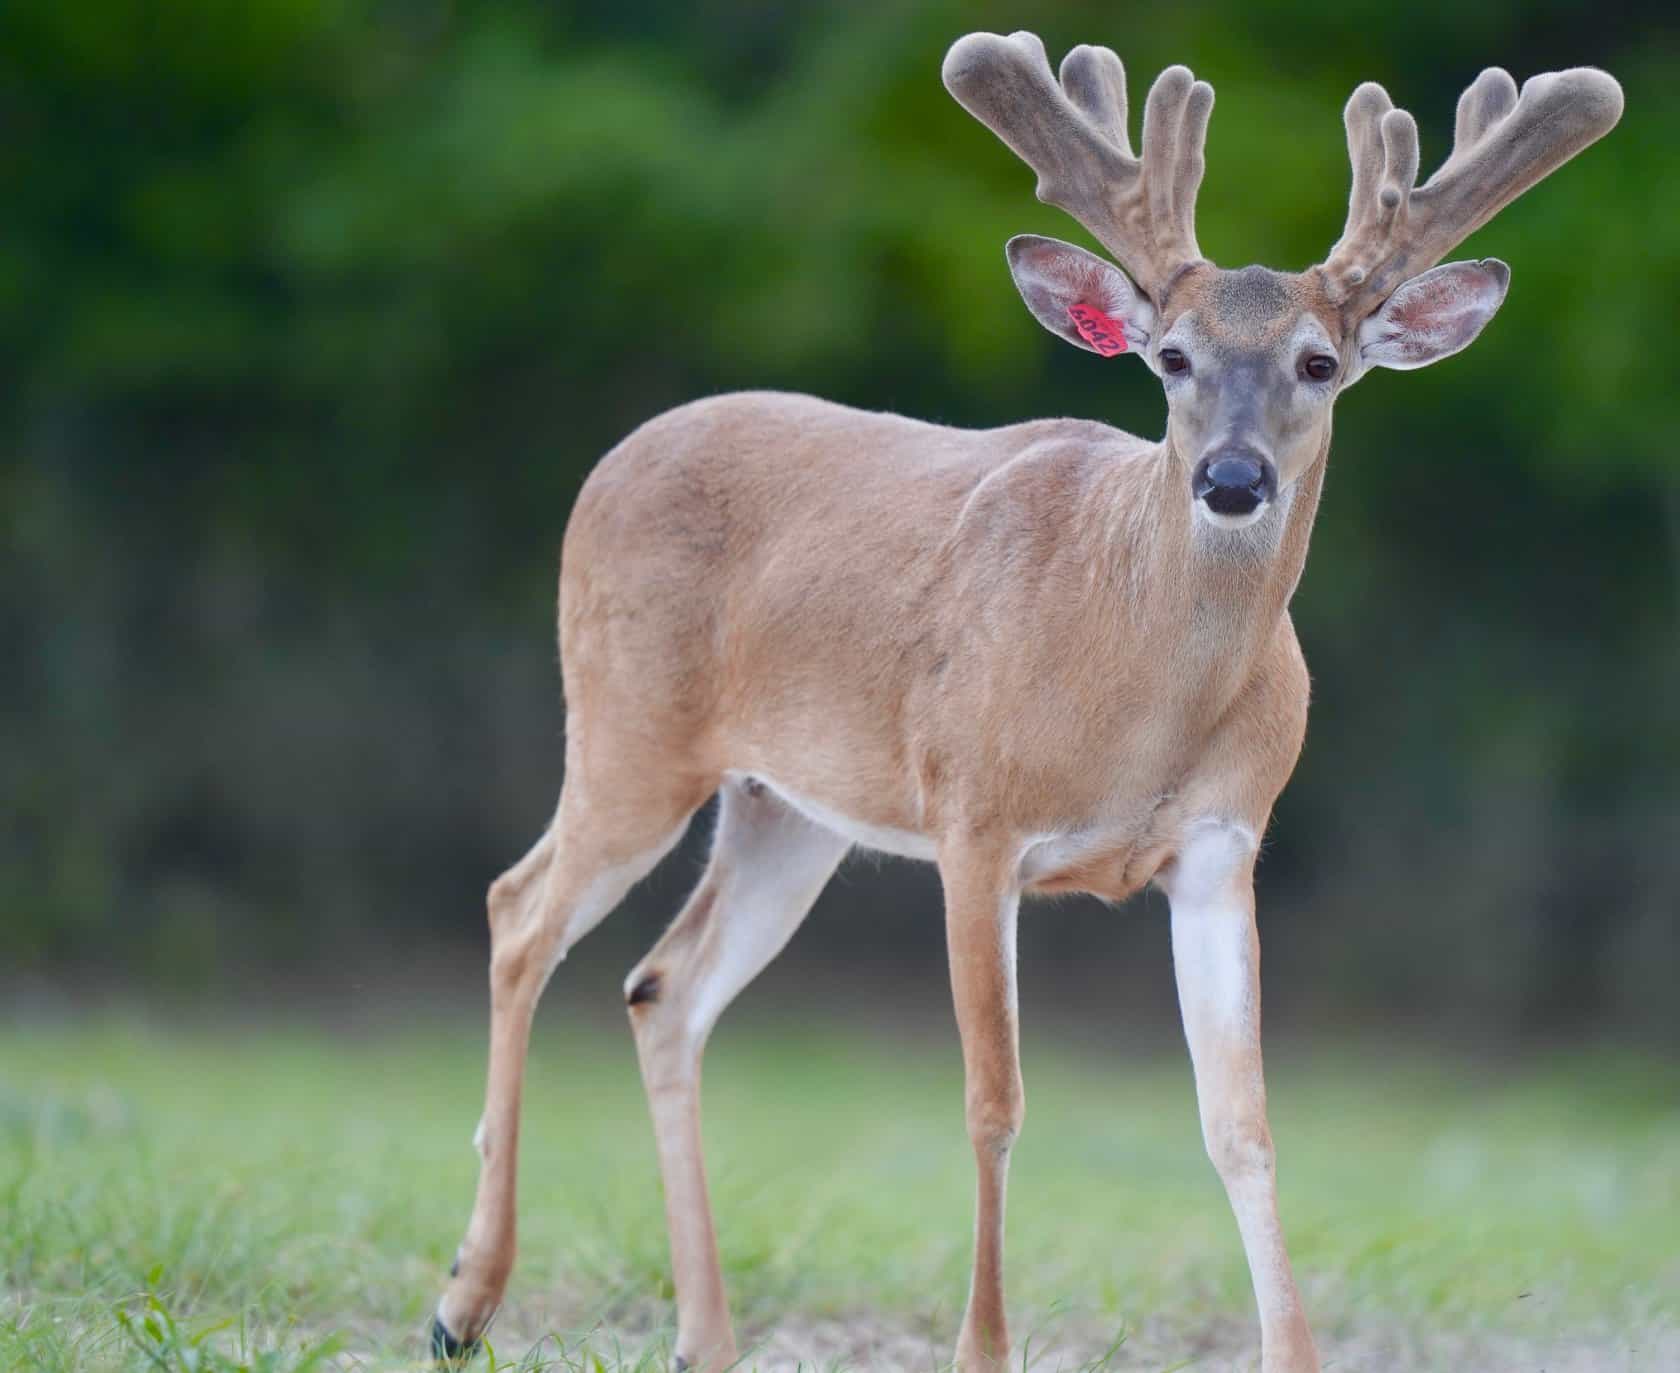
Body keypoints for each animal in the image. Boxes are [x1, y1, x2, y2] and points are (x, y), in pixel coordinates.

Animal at [430, 28, 1623, 1373]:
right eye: (1171, 357)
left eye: (1320, 362)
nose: (1231, 478)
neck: (1136, 707)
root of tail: (612, 461)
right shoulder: (975, 817)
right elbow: (993, 1100)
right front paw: (984, 1346)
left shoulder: (1224, 842)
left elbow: (1241, 1120)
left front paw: (1293, 1350)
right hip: (628, 724)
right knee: (519, 910)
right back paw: (465, 1297)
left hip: (791, 806)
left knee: (663, 986)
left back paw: (706, 1334)